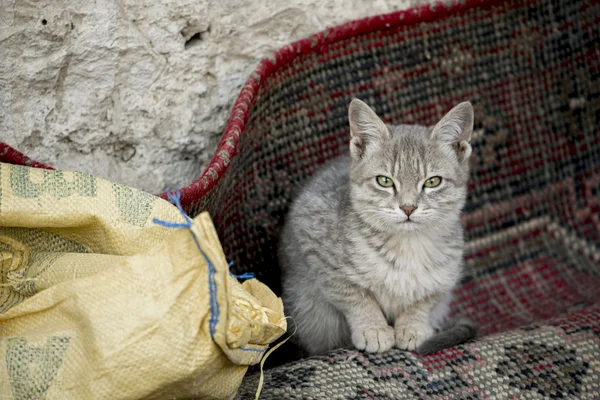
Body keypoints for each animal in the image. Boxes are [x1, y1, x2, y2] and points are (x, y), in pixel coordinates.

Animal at [278, 98, 478, 354]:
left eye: (433, 182)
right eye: (385, 181)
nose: (408, 207)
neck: (407, 247)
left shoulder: (444, 277)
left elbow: (423, 300)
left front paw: (412, 327)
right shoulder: (318, 252)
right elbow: (356, 297)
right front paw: (373, 328)